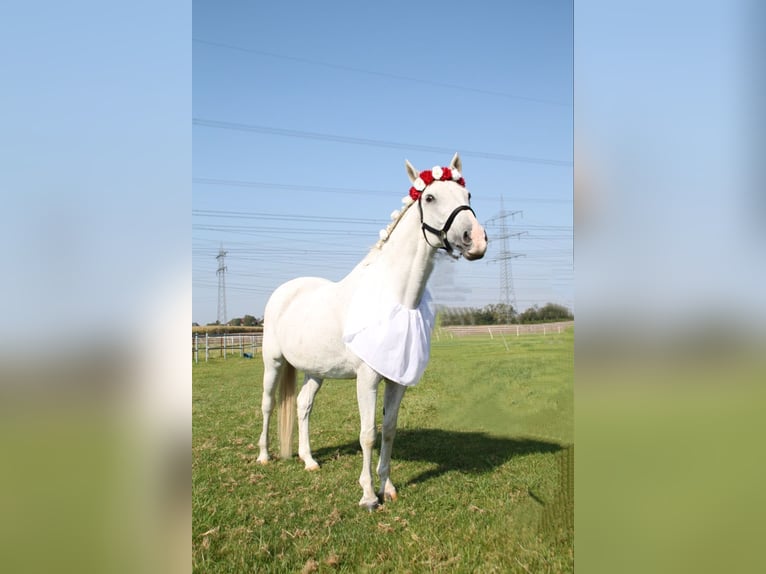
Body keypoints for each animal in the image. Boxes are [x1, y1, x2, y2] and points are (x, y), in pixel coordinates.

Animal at [256, 154, 486, 512]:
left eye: (468, 195)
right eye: (430, 197)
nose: (475, 239)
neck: (397, 297)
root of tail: (286, 290)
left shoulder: (397, 379)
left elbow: (388, 430)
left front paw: (387, 488)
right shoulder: (367, 378)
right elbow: (367, 433)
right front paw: (367, 496)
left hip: (315, 371)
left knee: (303, 406)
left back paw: (309, 461)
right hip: (274, 362)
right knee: (267, 404)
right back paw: (264, 456)